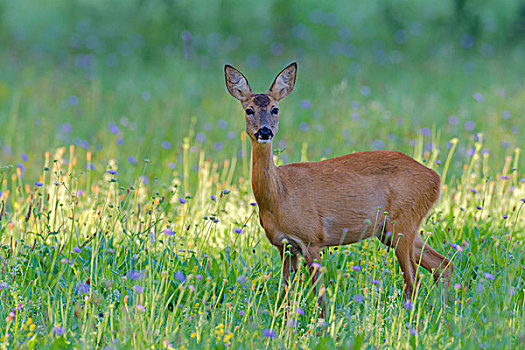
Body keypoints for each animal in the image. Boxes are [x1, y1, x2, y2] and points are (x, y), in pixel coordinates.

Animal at [223, 61, 452, 310]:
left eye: (275, 109)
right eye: (249, 110)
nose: (265, 131)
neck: (280, 197)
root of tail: (435, 178)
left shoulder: (312, 239)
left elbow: (320, 295)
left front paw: (321, 321)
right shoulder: (284, 246)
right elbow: (285, 295)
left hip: (402, 222)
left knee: (414, 279)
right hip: (393, 229)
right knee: (442, 265)